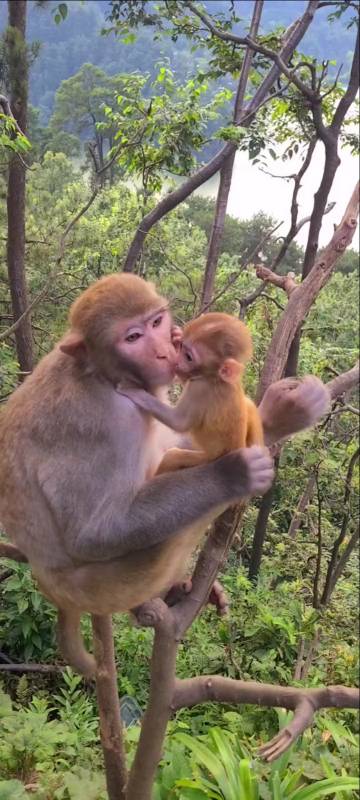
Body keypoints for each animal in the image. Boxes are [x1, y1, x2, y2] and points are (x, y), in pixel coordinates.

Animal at [123, 312, 264, 476]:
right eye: (182, 347)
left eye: (189, 357)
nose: (176, 361)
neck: (215, 378)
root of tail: (237, 447)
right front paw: (176, 337)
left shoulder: (200, 388)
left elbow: (179, 422)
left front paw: (134, 391)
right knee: (248, 404)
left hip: (204, 460)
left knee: (173, 456)